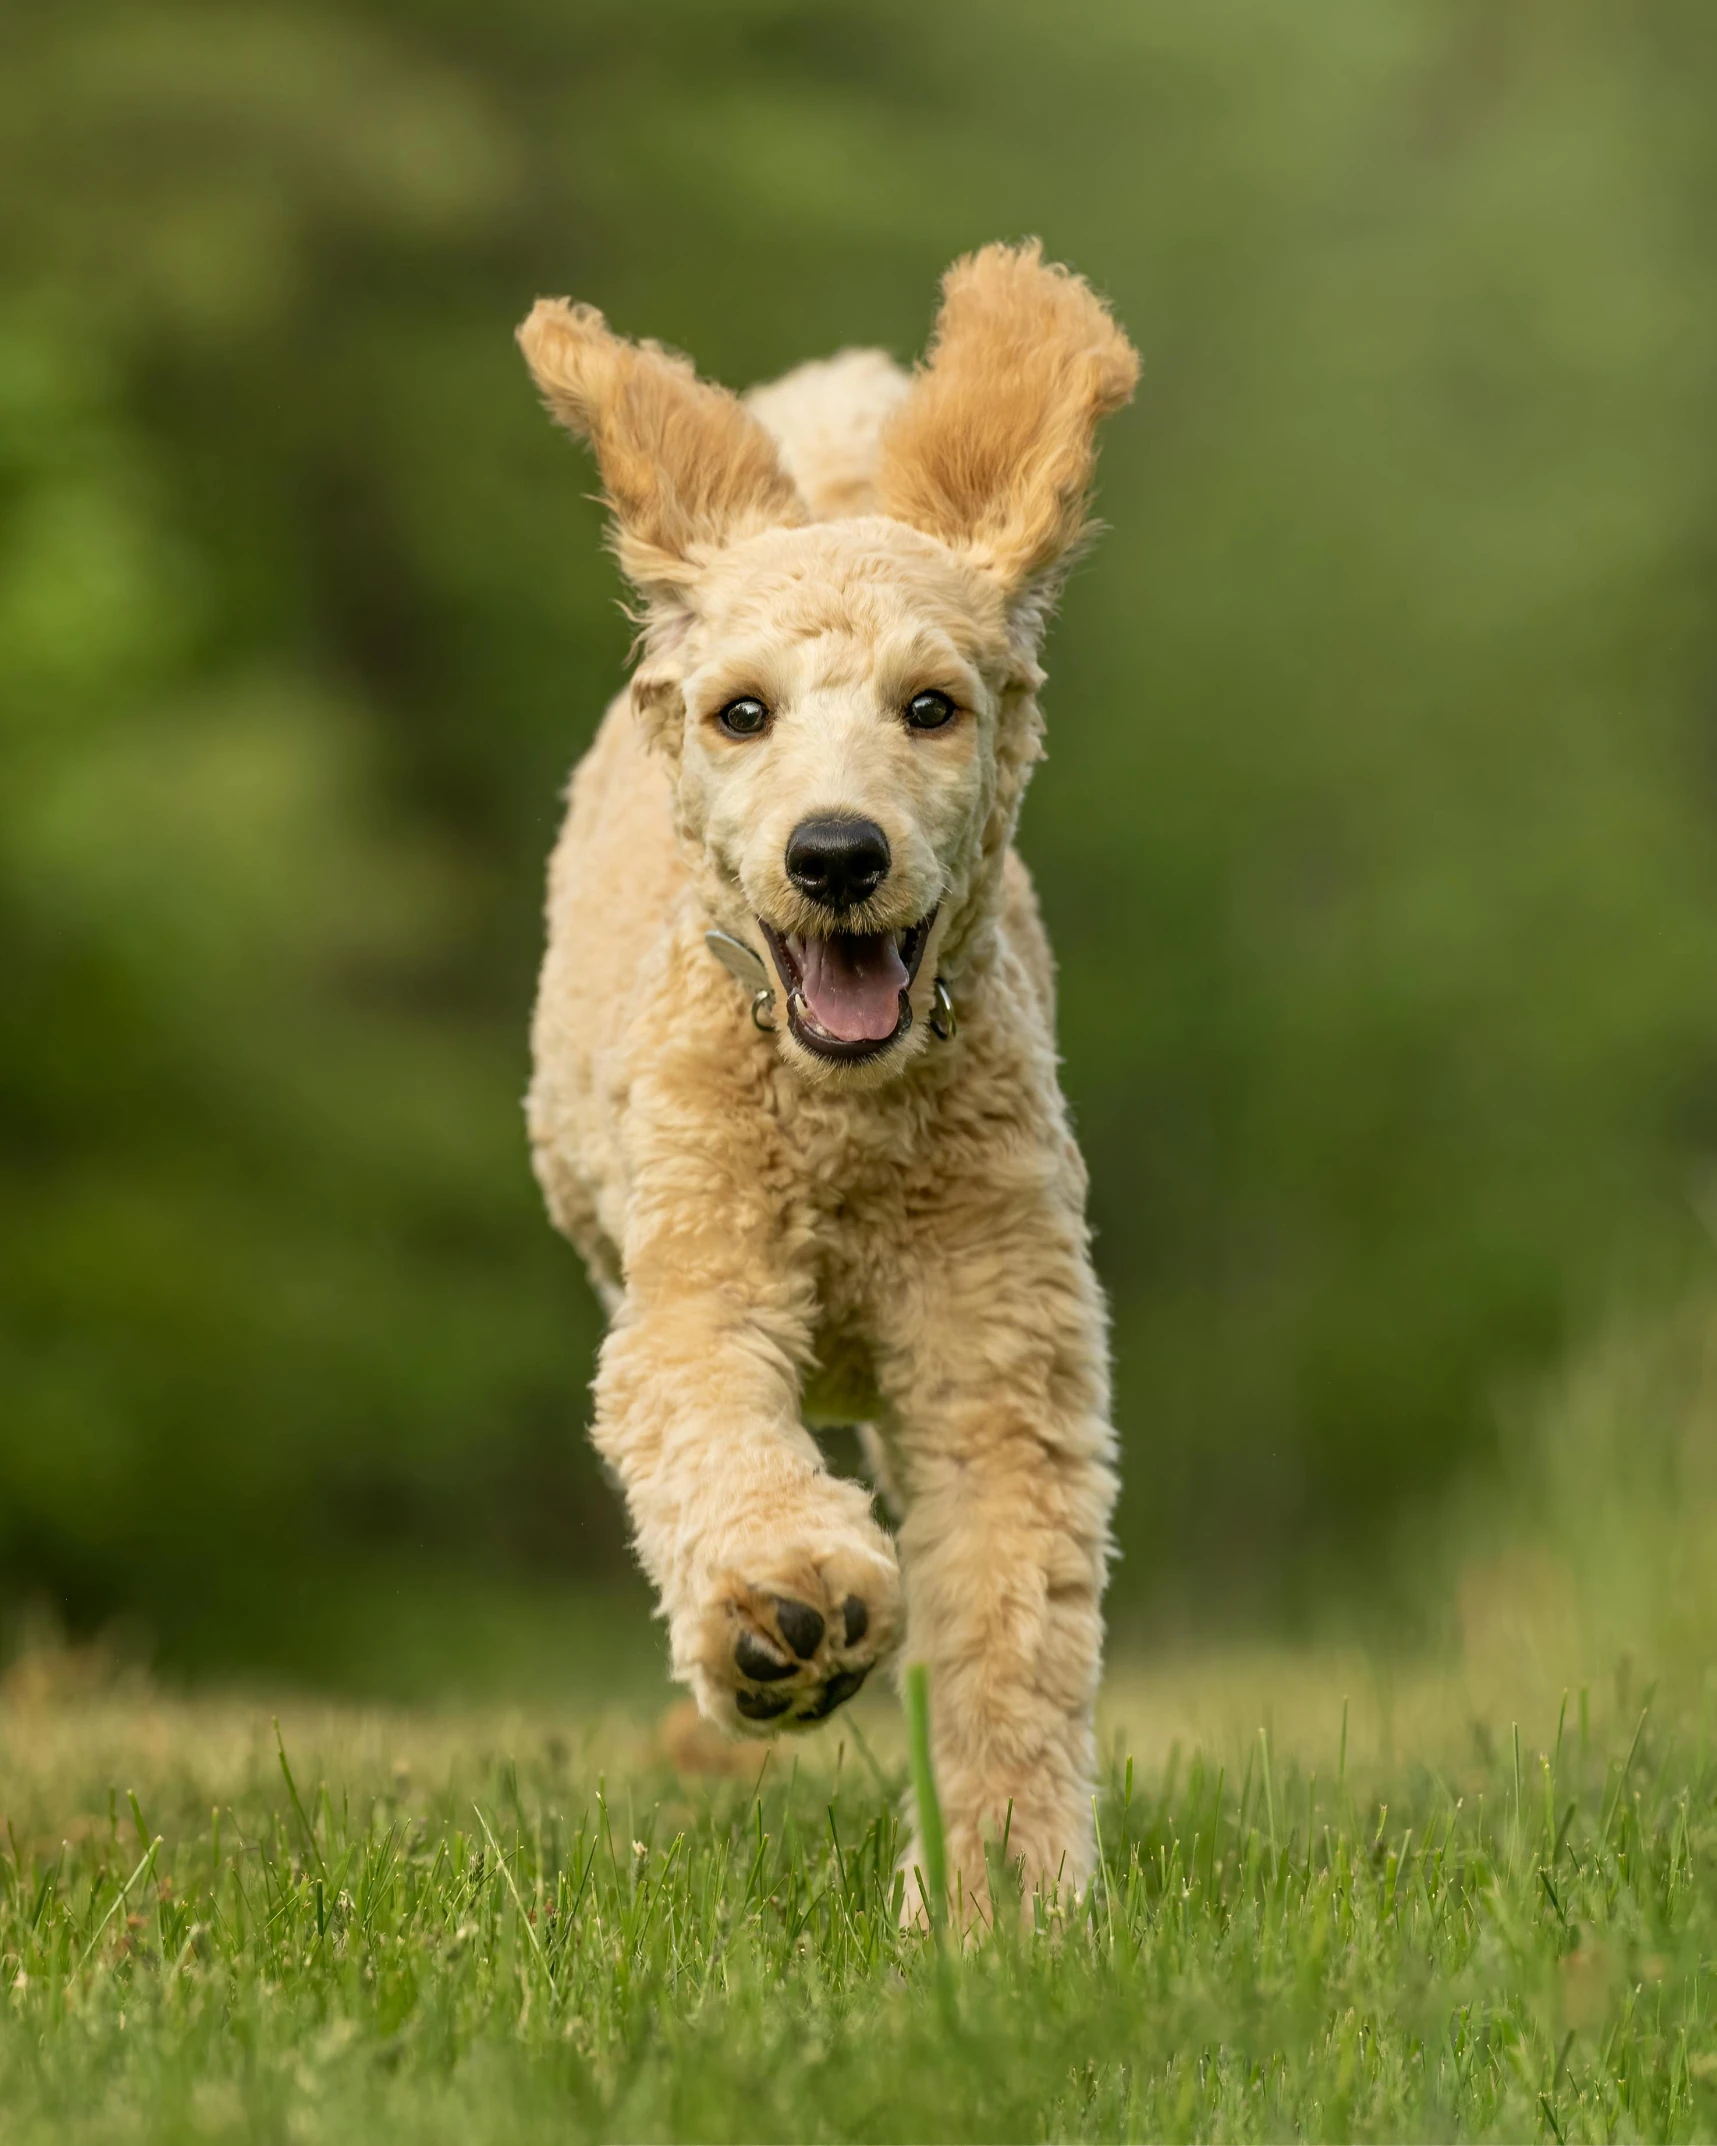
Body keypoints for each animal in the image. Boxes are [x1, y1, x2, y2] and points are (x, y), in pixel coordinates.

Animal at [523, 243, 1141, 1922]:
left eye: (932, 706)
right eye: (743, 712)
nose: (837, 854)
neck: (848, 1126)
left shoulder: (1000, 1352)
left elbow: (1008, 1626)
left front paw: (999, 1909)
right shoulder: (694, 1290)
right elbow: (710, 1435)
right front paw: (785, 1612)